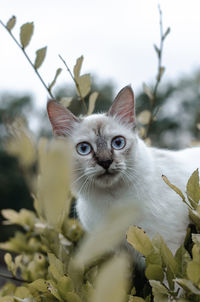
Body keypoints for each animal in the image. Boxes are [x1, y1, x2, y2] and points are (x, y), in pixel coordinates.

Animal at [47, 86, 200, 254]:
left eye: (118, 143)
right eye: (84, 149)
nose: (105, 162)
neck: (112, 200)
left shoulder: (167, 244)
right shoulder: (117, 252)